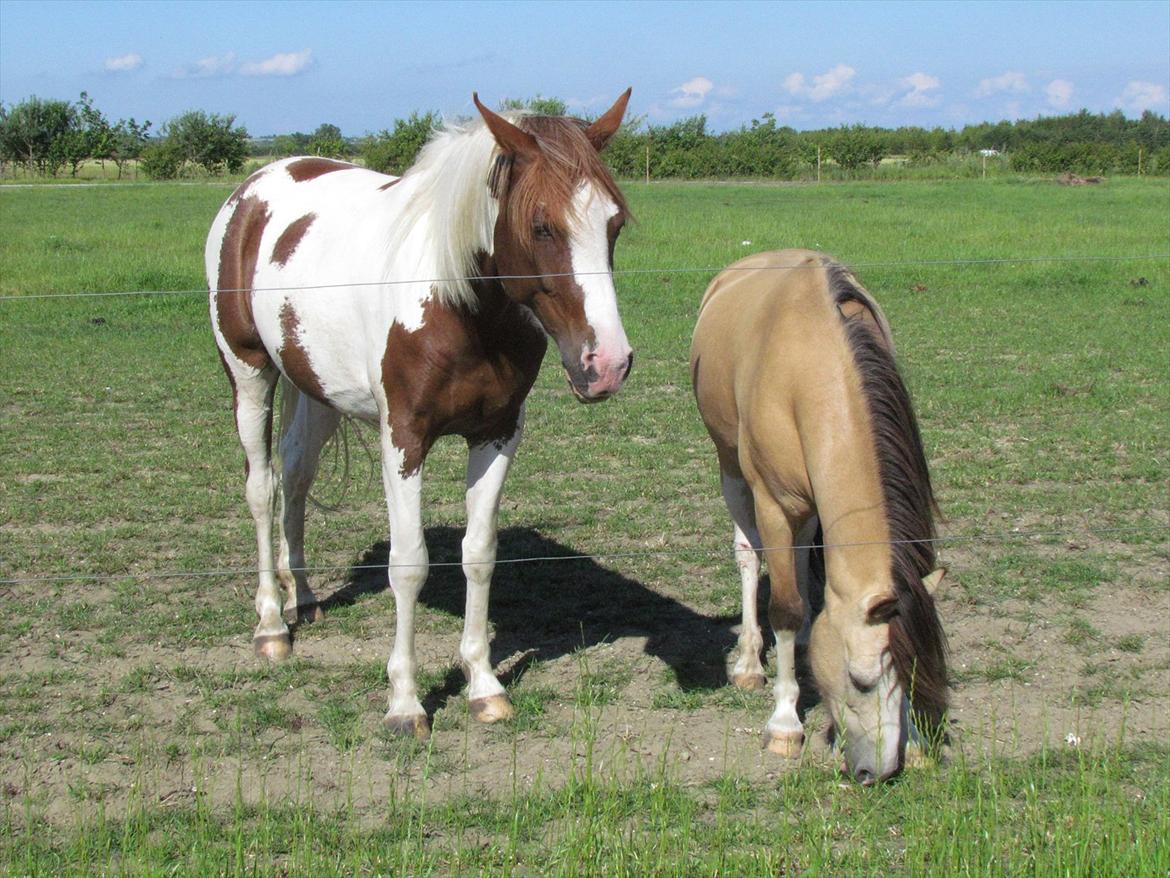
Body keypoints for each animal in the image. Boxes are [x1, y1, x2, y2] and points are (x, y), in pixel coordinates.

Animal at [205, 89, 636, 739]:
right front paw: (405, 701)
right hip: (250, 374)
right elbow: (408, 565)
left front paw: (483, 685)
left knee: (297, 477)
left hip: (314, 386)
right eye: (541, 226)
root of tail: (255, 186)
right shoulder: (402, 439)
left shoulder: (497, 434)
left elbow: (479, 555)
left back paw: (302, 595)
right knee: (262, 488)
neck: (457, 303)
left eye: (614, 222)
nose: (606, 363)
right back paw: (273, 624)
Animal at [687, 249, 945, 782]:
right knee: (749, 556)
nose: (879, 772)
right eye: (860, 680)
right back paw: (749, 662)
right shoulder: (772, 503)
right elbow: (783, 606)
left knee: (804, 553)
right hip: (730, 467)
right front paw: (784, 724)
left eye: (915, 671)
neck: (811, 365)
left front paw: (915, 741)